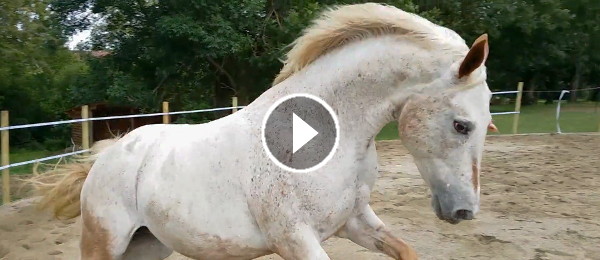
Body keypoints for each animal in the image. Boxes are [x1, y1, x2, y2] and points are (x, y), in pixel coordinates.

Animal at [35, 2, 500, 260]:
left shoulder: (354, 221)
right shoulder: (295, 240)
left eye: (489, 124)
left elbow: (405, 249)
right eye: (462, 125)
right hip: (105, 245)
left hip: (147, 246)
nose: (465, 211)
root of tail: (105, 156)